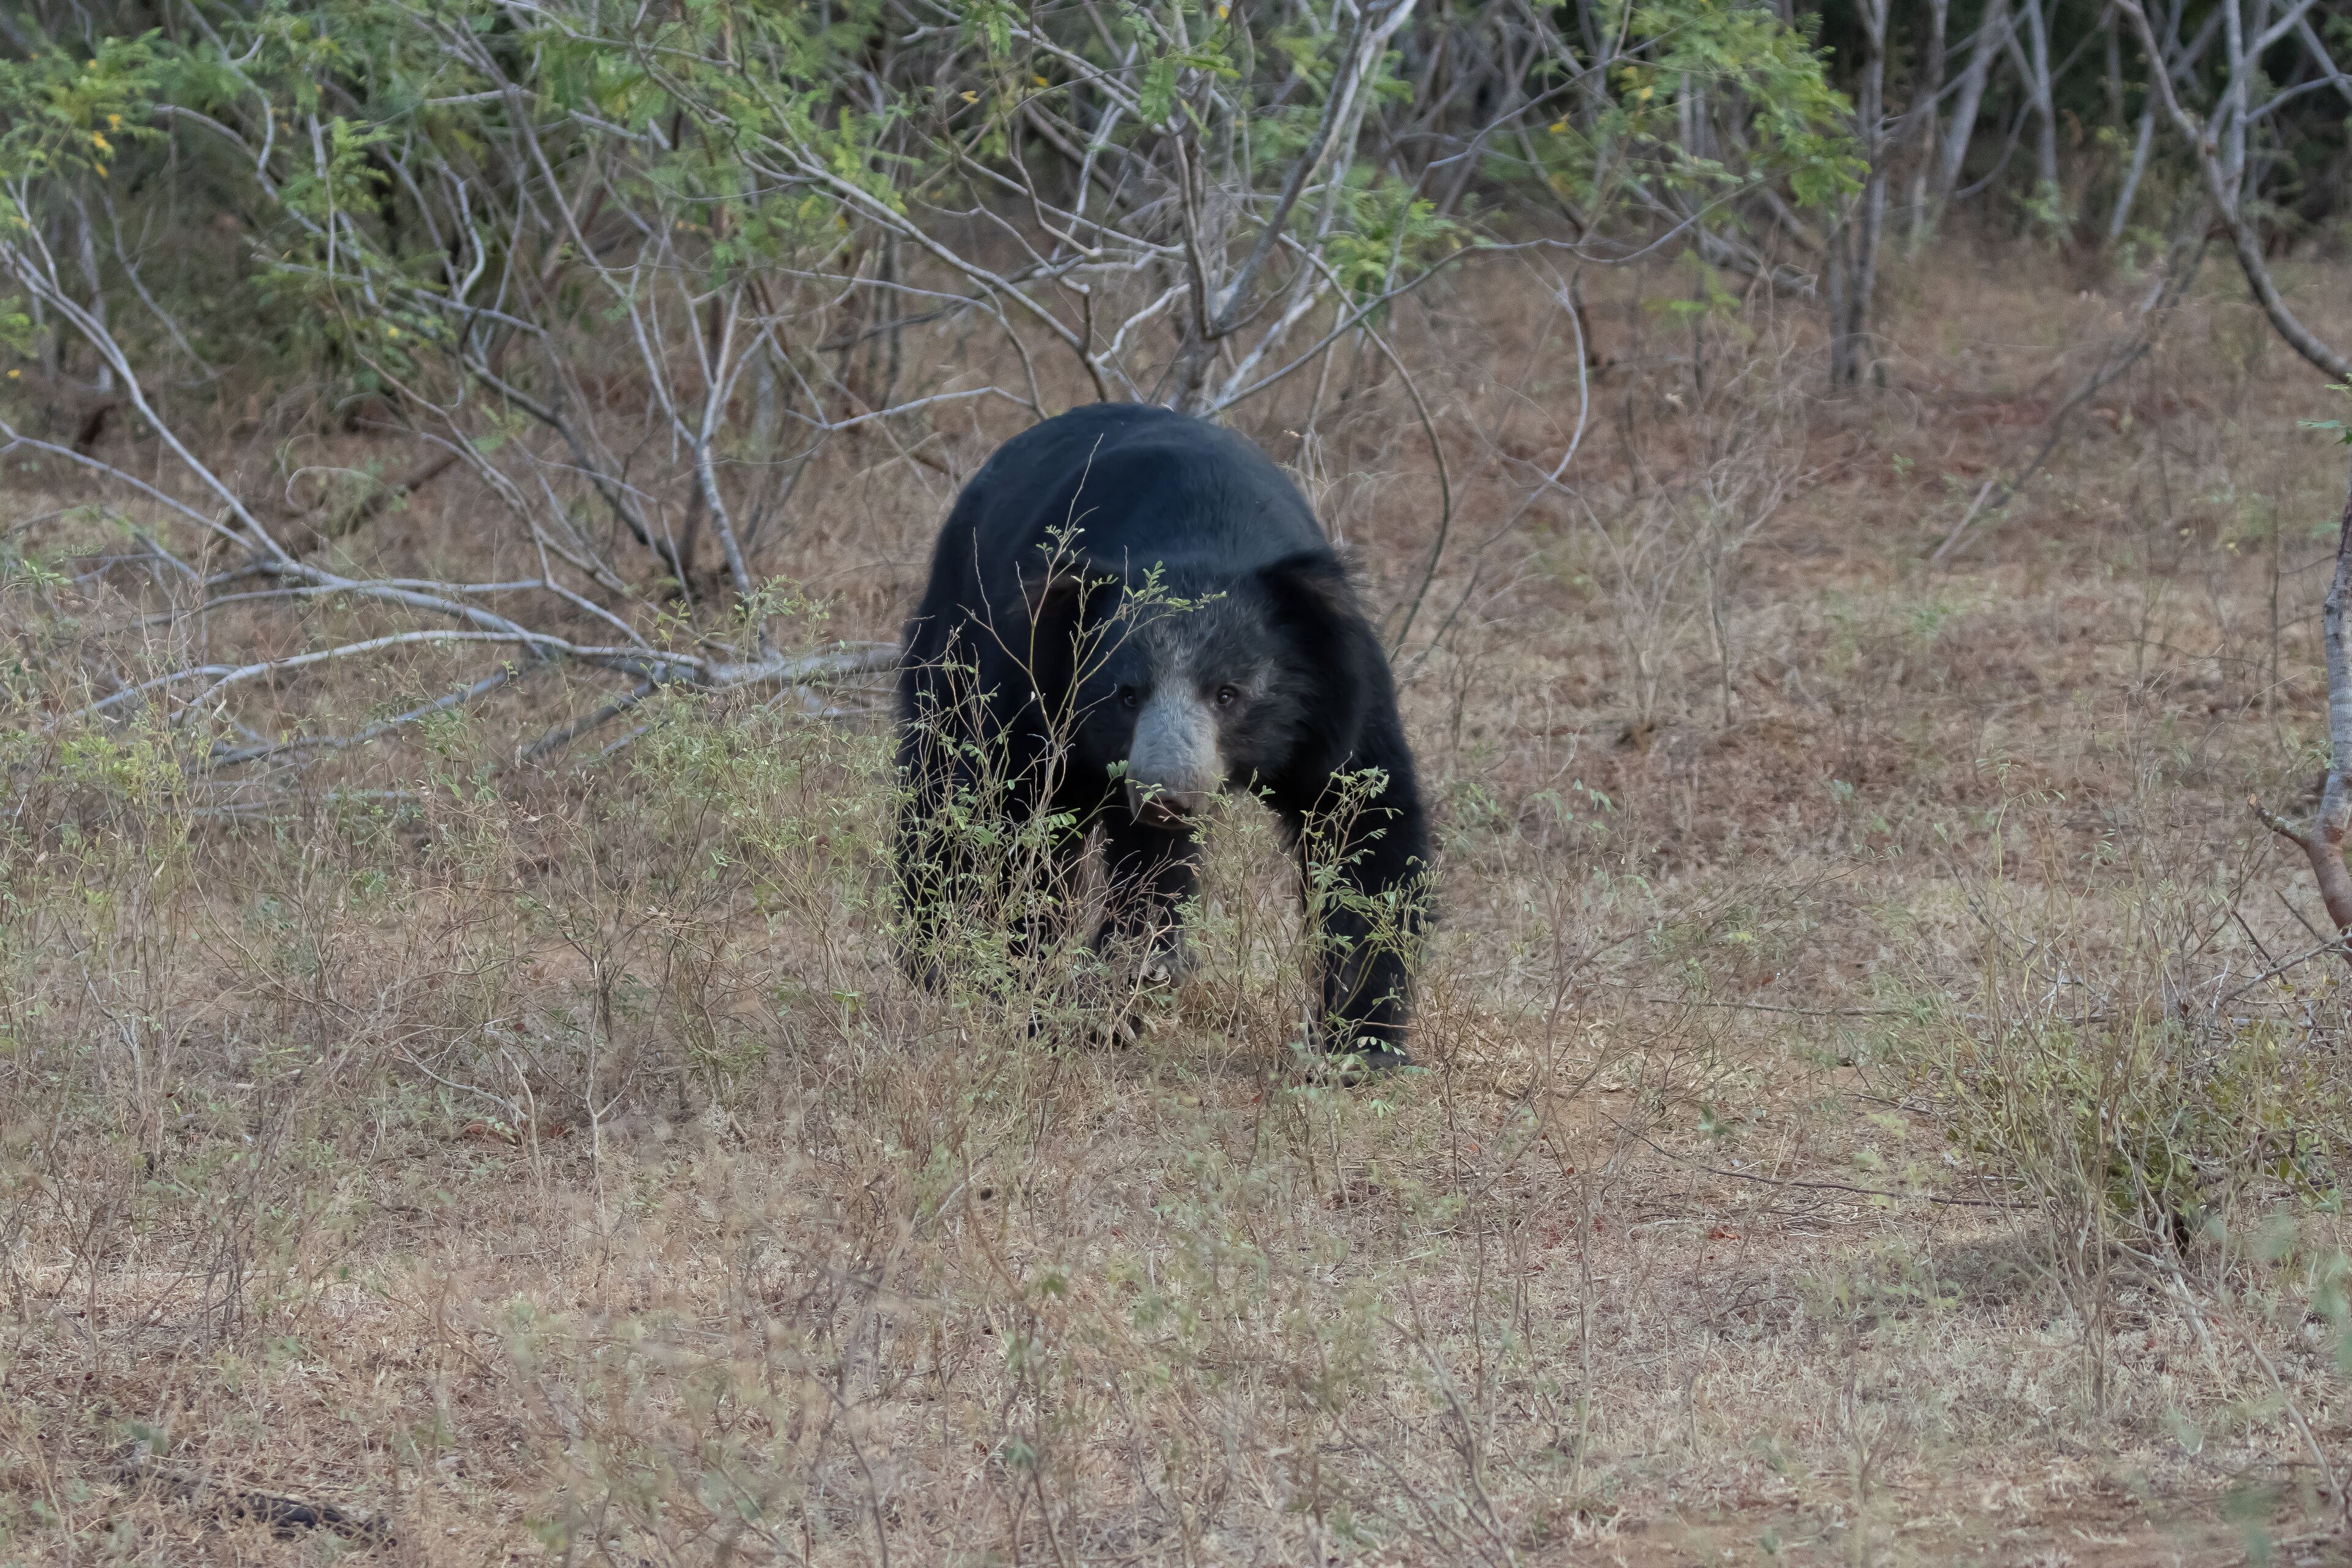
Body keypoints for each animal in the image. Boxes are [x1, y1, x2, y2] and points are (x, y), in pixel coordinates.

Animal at [892, 403, 1432, 1070]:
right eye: (1127, 695)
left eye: (1228, 693)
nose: (1163, 794)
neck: (1202, 534)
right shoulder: (1032, 684)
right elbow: (1010, 817)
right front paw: (1032, 989)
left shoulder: (1341, 698)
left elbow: (1362, 826)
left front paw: (1359, 1046)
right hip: (955, 629)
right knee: (944, 786)